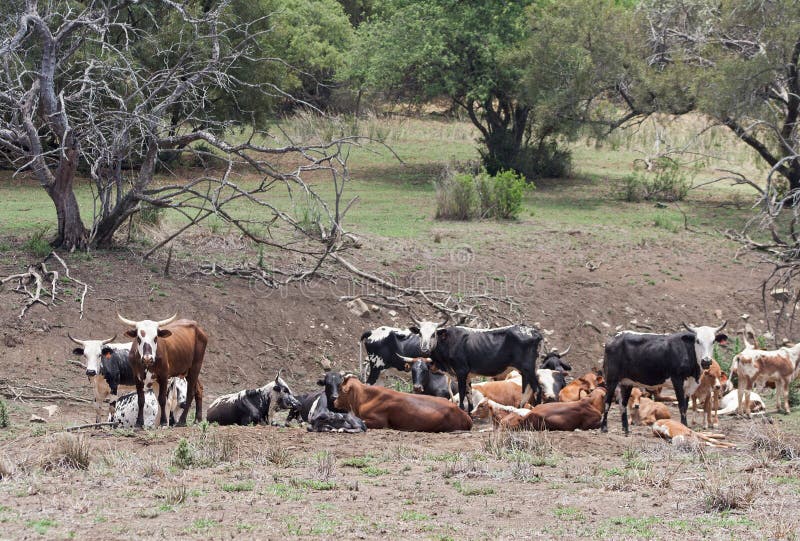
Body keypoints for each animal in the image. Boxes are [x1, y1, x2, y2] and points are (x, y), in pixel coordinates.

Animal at [412, 322, 542, 411]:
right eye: (420, 334)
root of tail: (533, 332)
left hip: (529, 369)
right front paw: (470, 413)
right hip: (525, 371)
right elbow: (469, 393)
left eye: (433, 334)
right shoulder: (467, 375)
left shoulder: (461, 371)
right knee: (526, 391)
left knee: (537, 389)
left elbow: (462, 392)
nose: (424, 349)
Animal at [600, 321, 729, 434]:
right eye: (697, 341)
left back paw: (626, 430)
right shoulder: (677, 380)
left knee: (623, 404)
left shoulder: (688, 387)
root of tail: (615, 338)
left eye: (713, 341)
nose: (706, 361)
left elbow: (686, 406)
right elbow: (682, 406)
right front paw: (684, 426)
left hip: (627, 382)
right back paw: (604, 428)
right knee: (607, 401)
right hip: (611, 379)